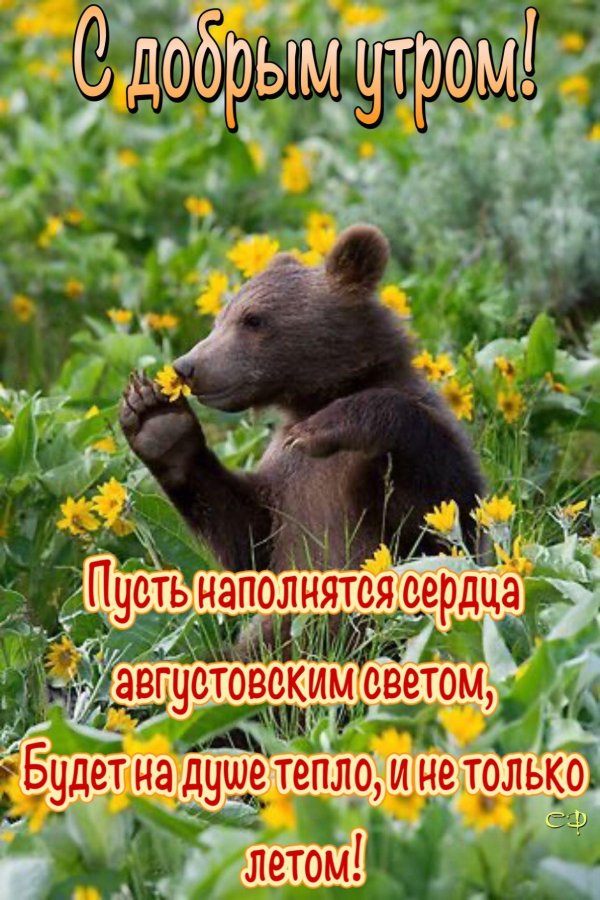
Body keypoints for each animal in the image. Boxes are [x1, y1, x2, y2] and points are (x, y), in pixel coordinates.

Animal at [120, 224, 484, 584]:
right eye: (219, 319)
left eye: (253, 319)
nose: (187, 366)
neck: (315, 397)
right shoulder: (283, 485)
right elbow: (246, 533)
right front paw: (157, 420)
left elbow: (441, 511)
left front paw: (319, 429)